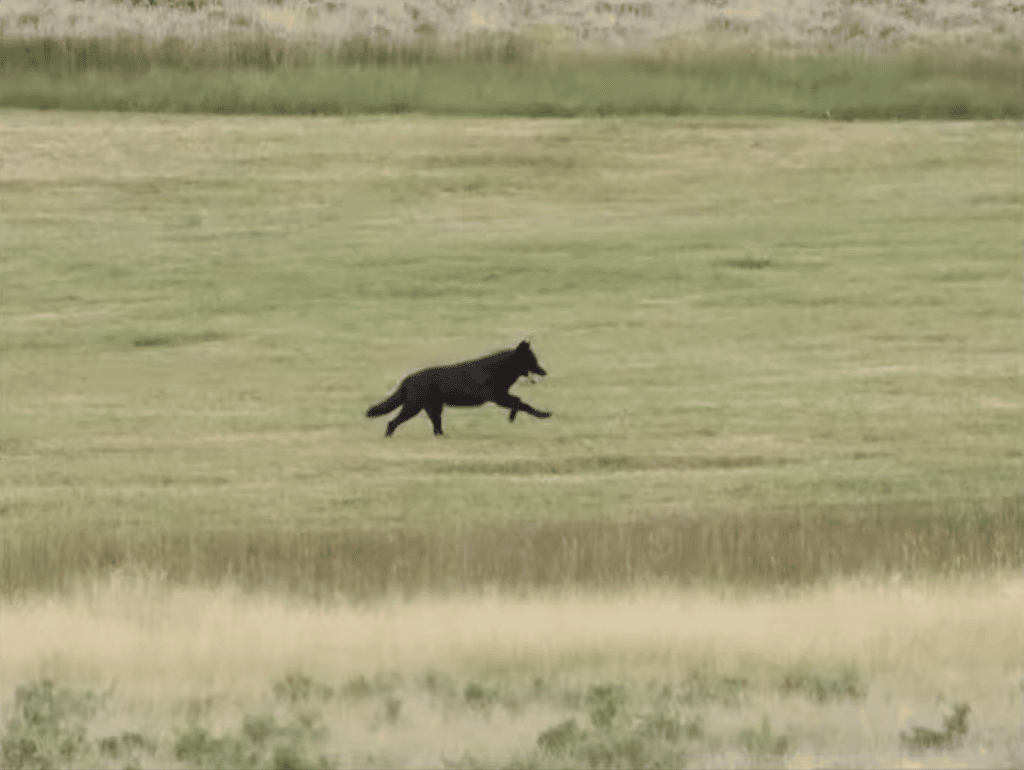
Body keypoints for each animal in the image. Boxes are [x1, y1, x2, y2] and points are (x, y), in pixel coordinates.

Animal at [366, 340, 552, 437]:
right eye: (532, 359)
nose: (545, 372)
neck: (499, 369)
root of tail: (406, 379)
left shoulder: (502, 397)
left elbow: (520, 402)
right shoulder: (498, 398)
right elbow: (521, 403)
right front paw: (540, 415)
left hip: (434, 409)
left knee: (436, 429)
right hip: (413, 408)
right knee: (392, 422)